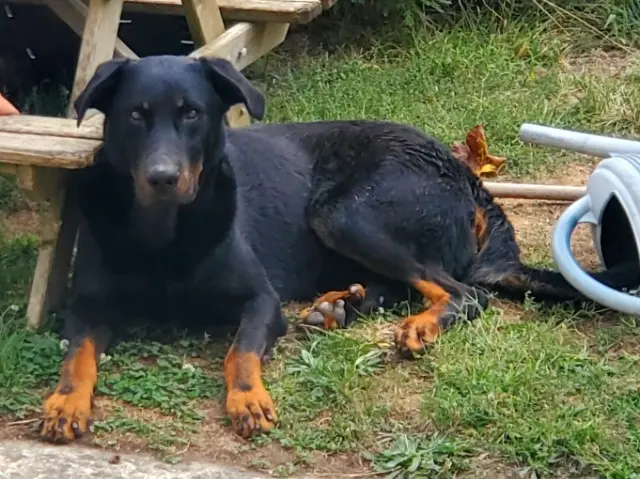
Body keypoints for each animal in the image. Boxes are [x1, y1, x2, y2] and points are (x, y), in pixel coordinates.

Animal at [41, 54, 640, 444]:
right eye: (135, 115)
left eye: (192, 114)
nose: (163, 178)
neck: (163, 231)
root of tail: (470, 179)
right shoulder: (87, 305)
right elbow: (77, 355)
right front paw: (65, 400)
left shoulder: (261, 301)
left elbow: (240, 352)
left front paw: (247, 397)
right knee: (413, 284)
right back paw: (341, 304)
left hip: (341, 212)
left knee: (463, 292)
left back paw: (414, 323)